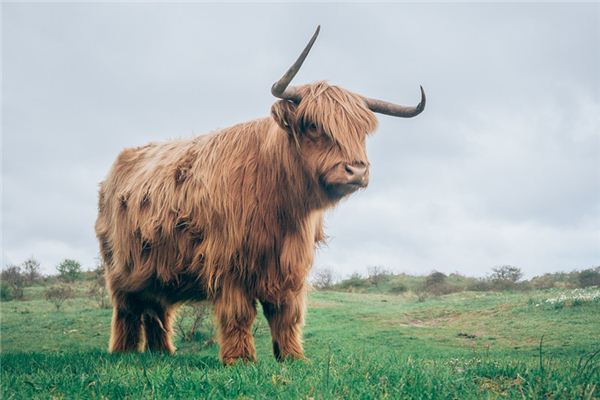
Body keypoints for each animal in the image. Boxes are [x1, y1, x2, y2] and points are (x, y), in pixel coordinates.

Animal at [96, 24, 426, 362]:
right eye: (312, 125)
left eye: (361, 130)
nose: (356, 170)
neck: (281, 205)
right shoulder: (229, 262)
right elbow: (239, 313)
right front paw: (240, 360)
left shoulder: (291, 266)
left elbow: (287, 314)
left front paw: (293, 357)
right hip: (120, 268)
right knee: (127, 310)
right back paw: (123, 352)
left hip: (156, 270)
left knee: (157, 310)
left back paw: (161, 353)